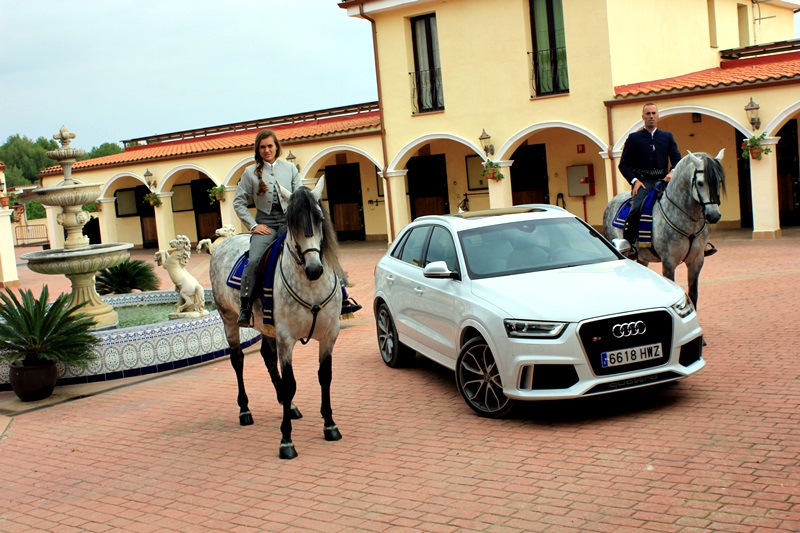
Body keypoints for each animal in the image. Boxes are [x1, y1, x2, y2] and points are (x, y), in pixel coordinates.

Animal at [208, 177, 342, 460]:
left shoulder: (329, 336)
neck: (311, 286)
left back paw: (287, 406)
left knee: (266, 357)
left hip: (266, 326)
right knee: (237, 360)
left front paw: (330, 425)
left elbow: (325, 377)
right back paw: (245, 410)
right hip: (228, 319)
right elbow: (291, 382)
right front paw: (286, 440)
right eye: (292, 224)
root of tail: (225, 243)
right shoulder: (286, 339)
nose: (314, 269)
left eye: (319, 219)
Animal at [604, 150, 728, 308]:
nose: (713, 215)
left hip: (642, 257)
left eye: (719, 181)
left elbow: (693, 295)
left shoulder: (696, 261)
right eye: (700, 183)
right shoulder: (669, 262)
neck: (689, 223)